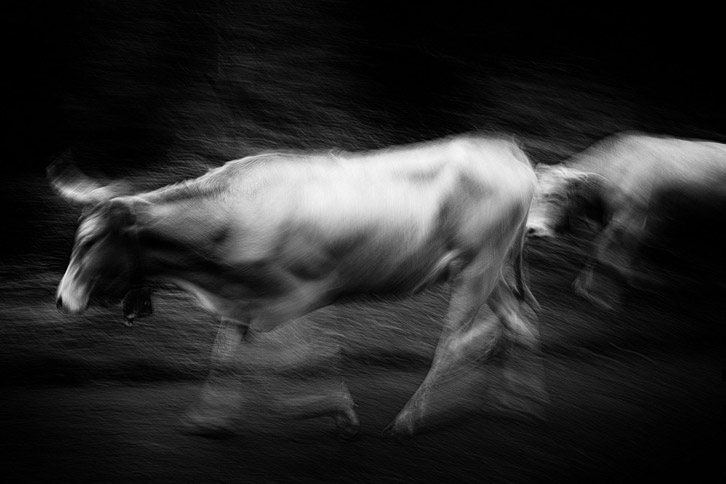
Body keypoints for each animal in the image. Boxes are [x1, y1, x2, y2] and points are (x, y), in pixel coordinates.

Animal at [51, 133, 540, 438]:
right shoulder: (242, 300)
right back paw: (518, 399)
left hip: (479, 265)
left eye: (90, 241)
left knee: (455, 341)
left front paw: (336, 410)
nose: (59, 300)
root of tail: (503, 149)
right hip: (489, 271)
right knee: (519, 322)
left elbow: (296, 359)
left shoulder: (298, 295)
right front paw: (210, 419)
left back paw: (410, 418)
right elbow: (225, 357)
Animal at [528, 130, 726, 308]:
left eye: (557, 196)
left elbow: (604, 250)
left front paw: (604, 294)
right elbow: (598, 249)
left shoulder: (633, 221)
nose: (531, 229)